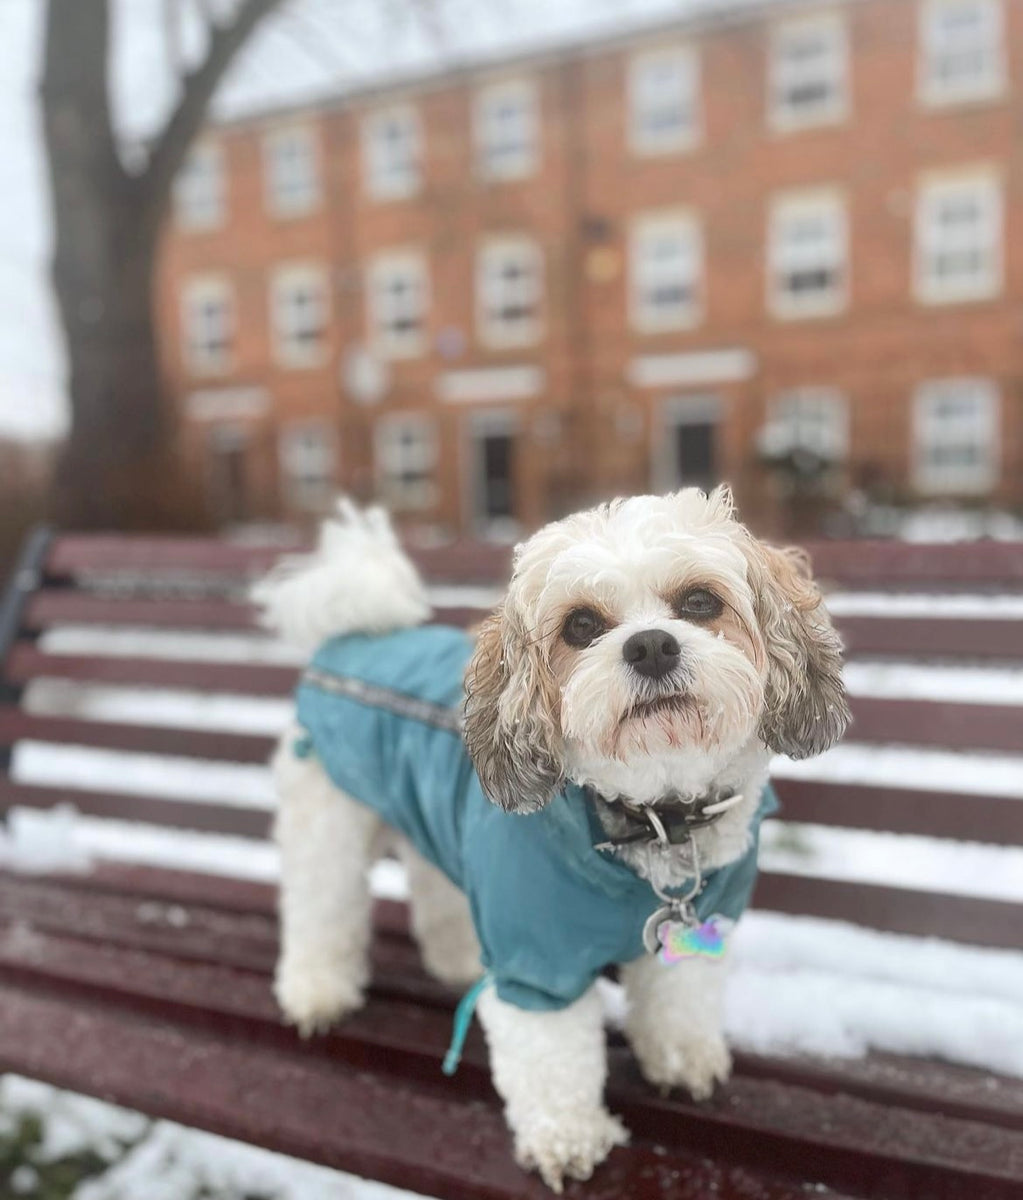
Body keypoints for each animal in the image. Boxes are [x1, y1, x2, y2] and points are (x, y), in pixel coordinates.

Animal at [255, 487, 845, 1190]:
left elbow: (678, 996)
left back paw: (458, 961)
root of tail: (355, 637)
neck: (653, 815)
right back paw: (316, 993)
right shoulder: (538, 964)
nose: (651, 646)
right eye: (581, 625)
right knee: (320, 908)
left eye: (701, 602)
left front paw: (682, 1060)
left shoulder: (704, 923)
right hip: (327, 826)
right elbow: (552, 1058)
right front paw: (567, 1139)